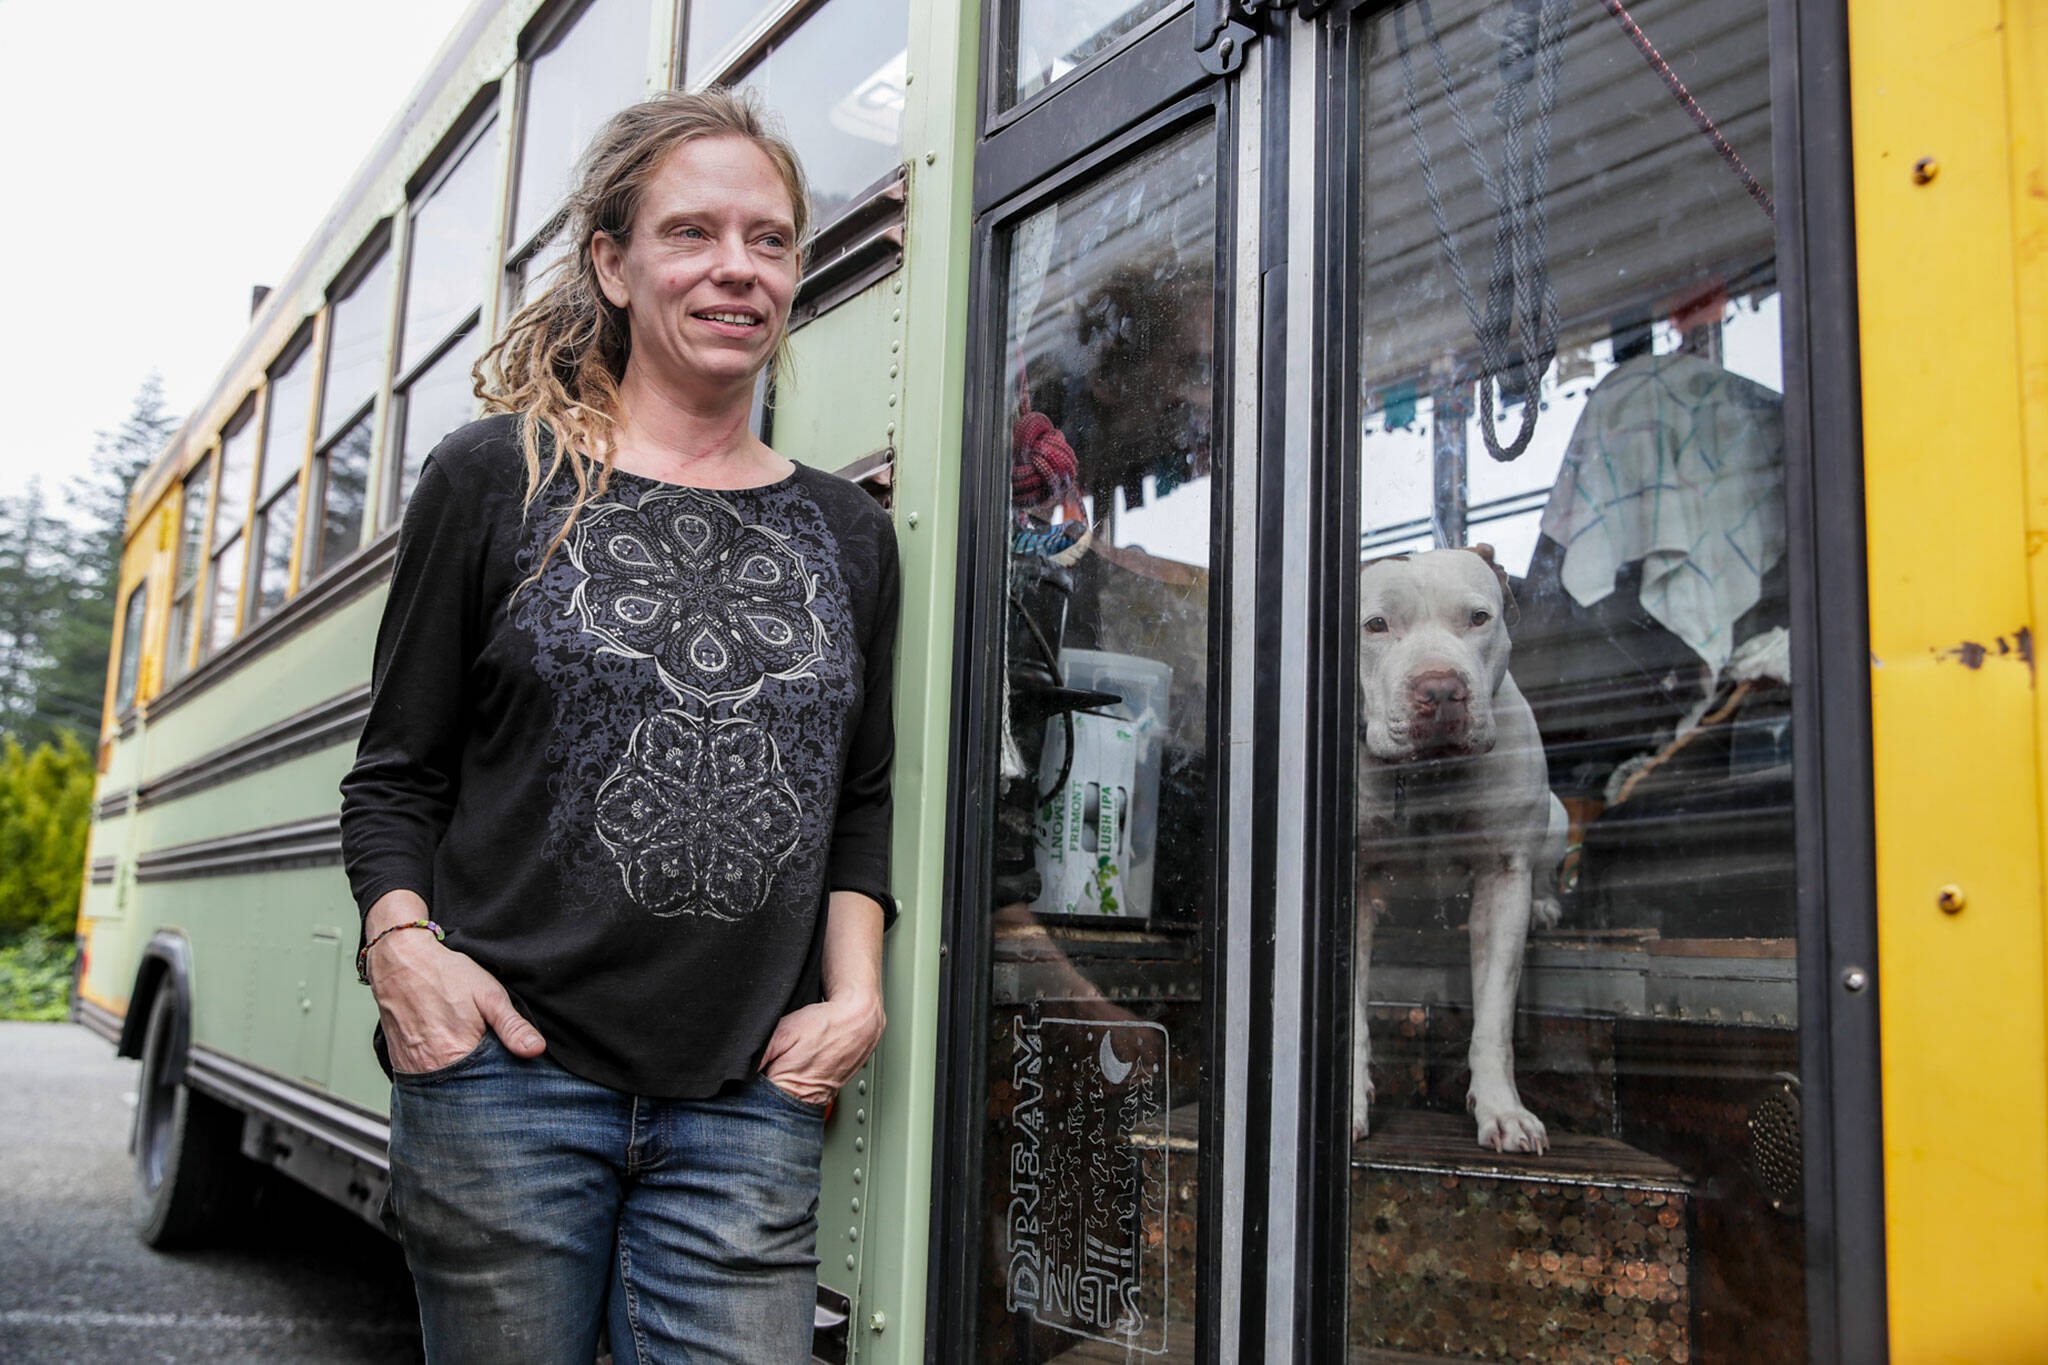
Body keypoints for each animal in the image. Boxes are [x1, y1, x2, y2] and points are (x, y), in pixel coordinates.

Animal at [1353, 545, 1567, 1154]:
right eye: (1375, 625)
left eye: (1478, 618)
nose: (1441, 690)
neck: (1428, 776)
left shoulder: (1502, 878)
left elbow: (1493, 1018)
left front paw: (1503, 1110)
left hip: (1558, 817)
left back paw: (1545, 906)